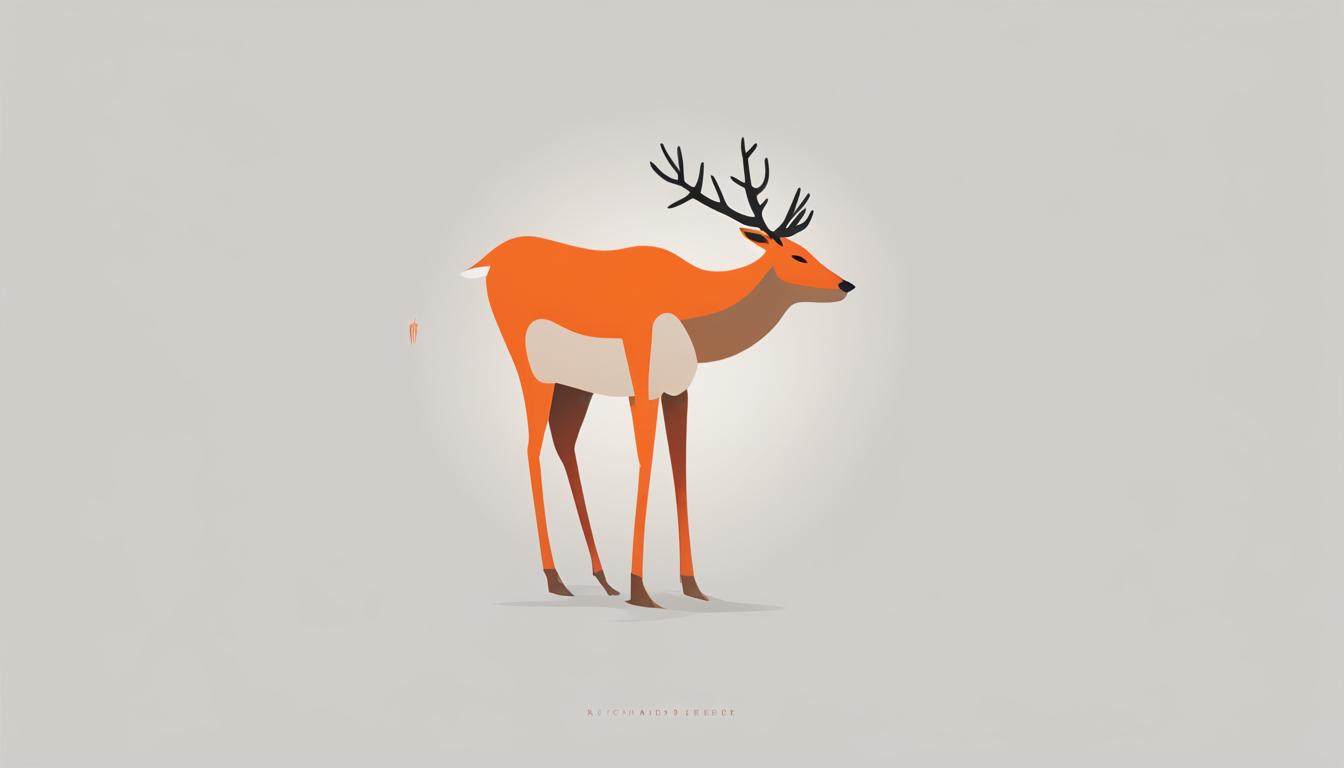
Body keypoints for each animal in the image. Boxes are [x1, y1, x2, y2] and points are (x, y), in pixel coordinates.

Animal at [463, 140, 854, 608]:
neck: (688, 302)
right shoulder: (642, 380)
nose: (846, 284)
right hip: (533, 374)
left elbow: (679, 466)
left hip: (575, 386)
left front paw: (692, 586)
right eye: (798, 255)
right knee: (531, 448)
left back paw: (602, 579)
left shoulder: (677, 390)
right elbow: (646, 461)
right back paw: (556, 579)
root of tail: (492, 259)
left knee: (564, 444)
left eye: (810, 251)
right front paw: (641, 589)